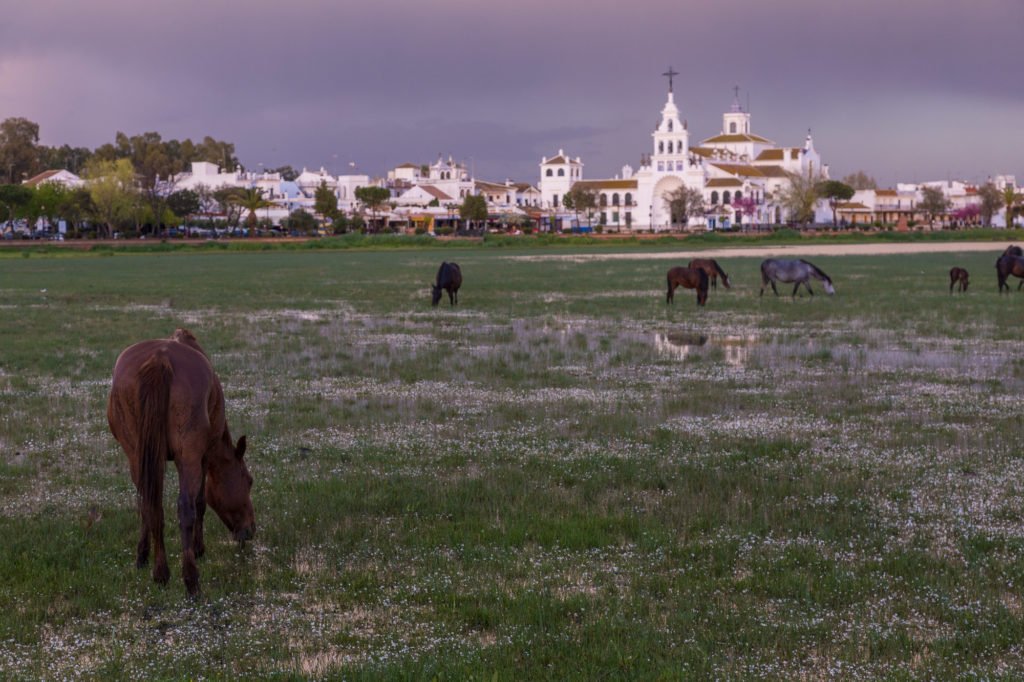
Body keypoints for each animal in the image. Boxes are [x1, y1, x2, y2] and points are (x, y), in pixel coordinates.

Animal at [106, 327, 256, 593]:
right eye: (248, 481)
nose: (250, 530)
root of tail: (160, 359)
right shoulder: (203, 457)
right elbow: (200, 502)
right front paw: (198, 549)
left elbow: (147, 505)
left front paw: (142, 556)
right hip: (188, 457)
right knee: (185, 507)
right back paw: (191, 581)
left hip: (137, 453)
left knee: (152, 505)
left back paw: (160, 573)